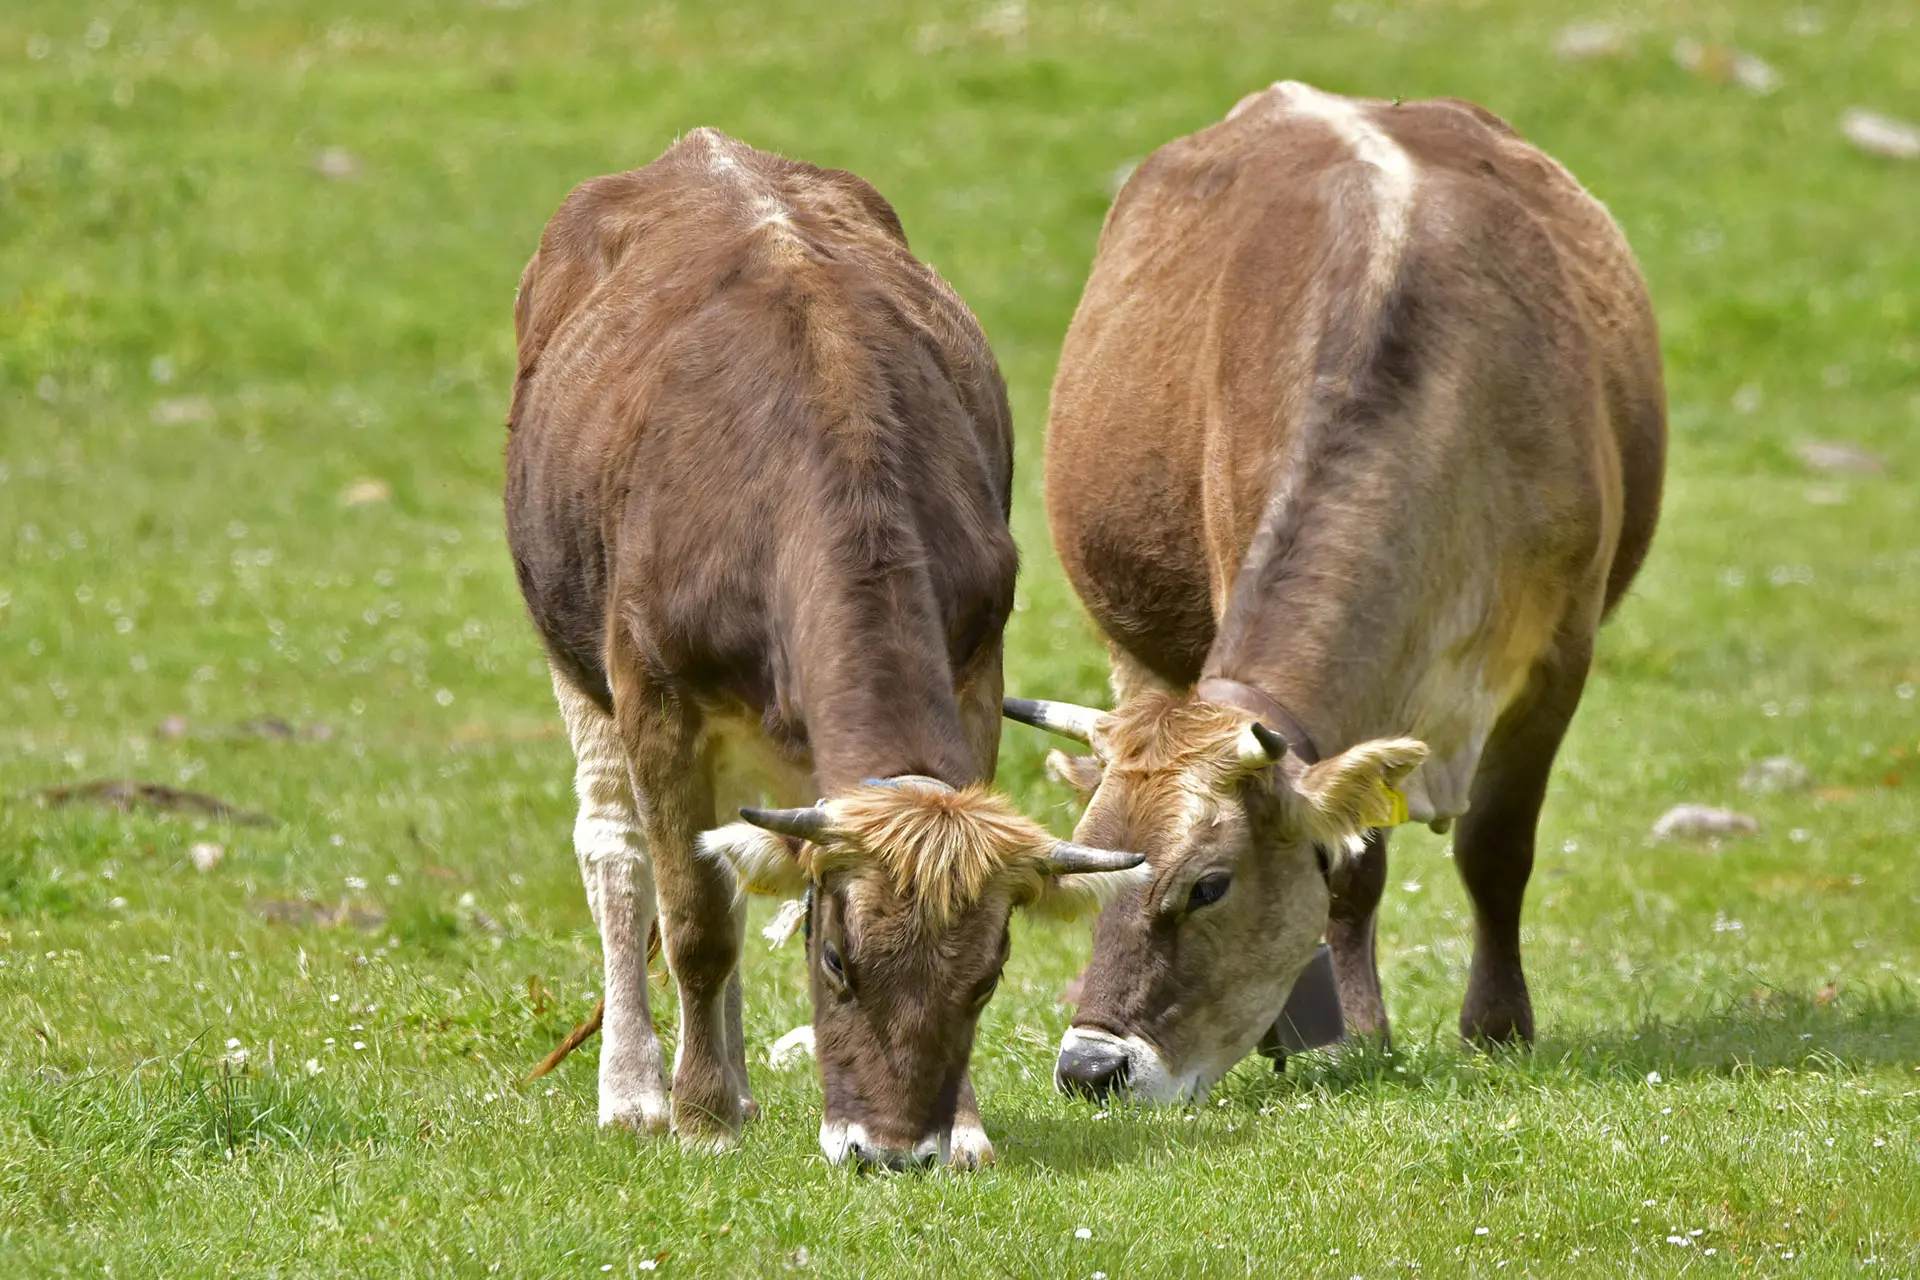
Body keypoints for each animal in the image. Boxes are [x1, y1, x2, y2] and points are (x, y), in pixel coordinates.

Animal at [503, 132, 1144, 1174]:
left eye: (988, 975)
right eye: (837, 960)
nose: (890, 1151)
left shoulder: (977, 667)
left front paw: (963, 1129)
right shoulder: (655, 694)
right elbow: (694, 919)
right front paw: (701, 1115)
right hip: (575, 661)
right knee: (618, 854)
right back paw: (637, 1087)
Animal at [1006, 82, 1666, 1105]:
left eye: (1208, 884)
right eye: (1094, 874)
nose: (1090, 1067)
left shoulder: (1561, 653)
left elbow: (1498, 849)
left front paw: (1497, 1027)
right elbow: (1354, 868)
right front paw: (1354, 1033)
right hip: (1136, 641)